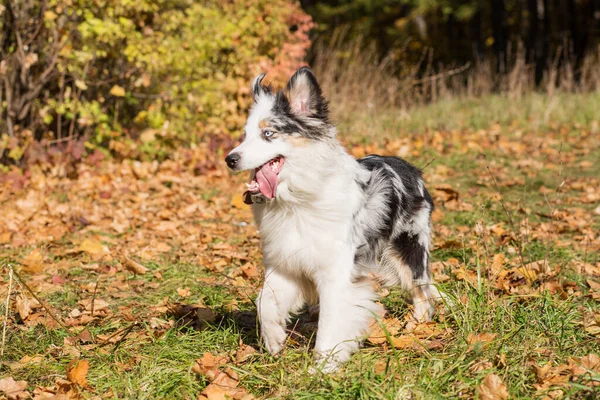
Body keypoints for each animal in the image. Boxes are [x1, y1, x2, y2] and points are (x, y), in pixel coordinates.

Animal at [225, 66, 440, 372]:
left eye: (268, 133)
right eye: (244, 135)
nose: (230, 159)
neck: (297, 198)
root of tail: (411, 168)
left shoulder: (335, 273)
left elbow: (330, 322)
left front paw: (323, 368)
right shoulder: (285, 264)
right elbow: (264, 302)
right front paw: (274, 339)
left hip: (410, 248)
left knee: (422, 291)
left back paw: (418, 326)